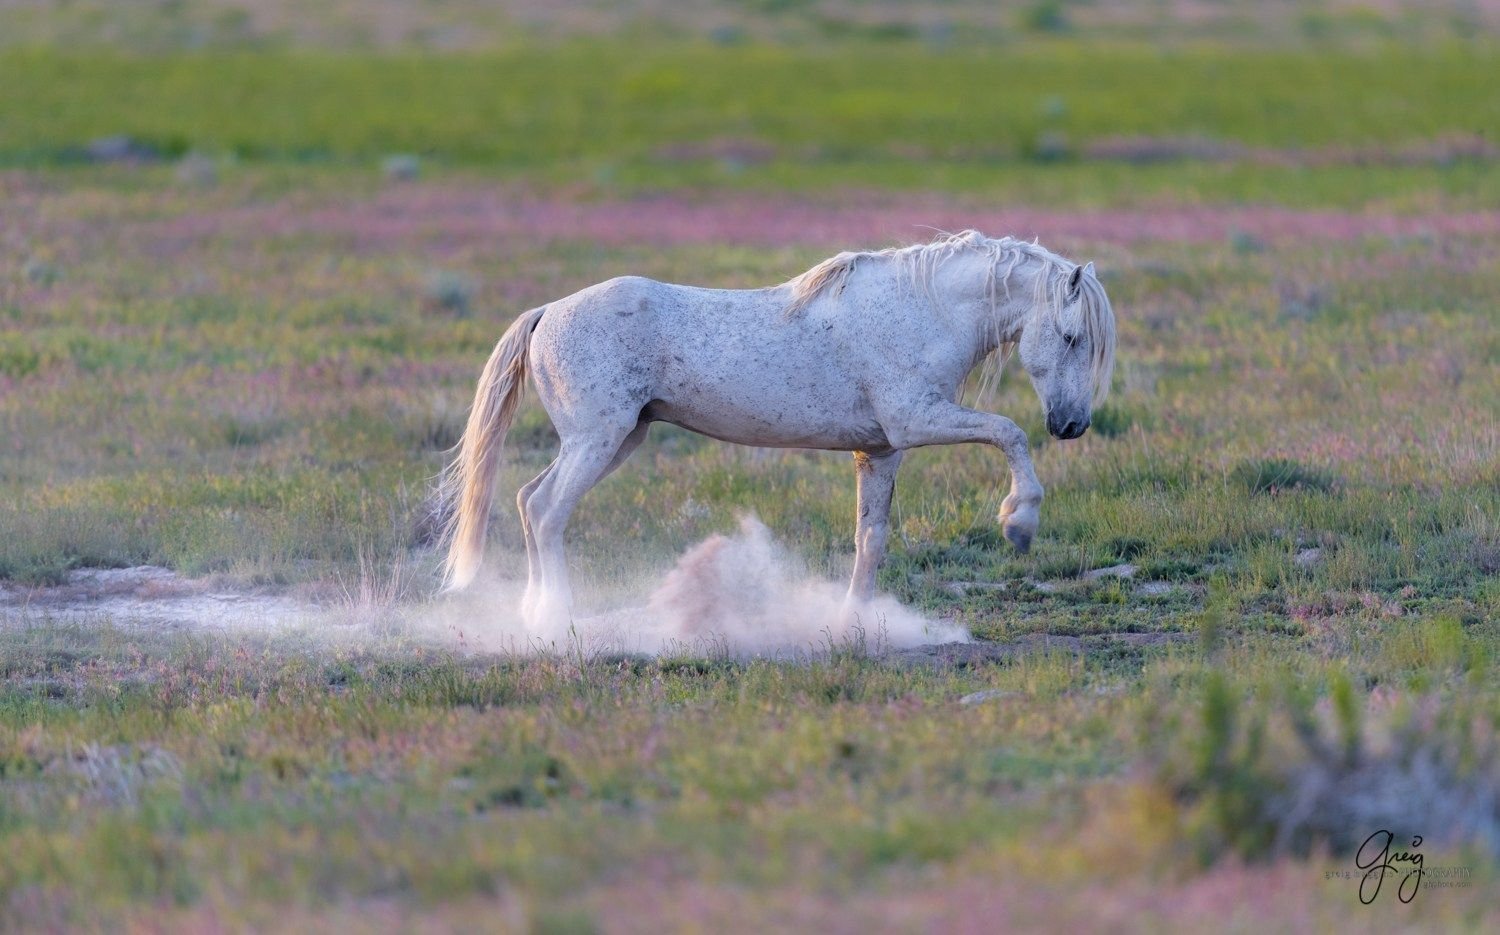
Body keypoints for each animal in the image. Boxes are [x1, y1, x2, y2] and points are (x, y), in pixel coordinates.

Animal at [438, 231, 1116, 633]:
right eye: (1070, 337)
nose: (1071, 425)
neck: (921, 312)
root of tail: (547, 313)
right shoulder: (919, 419)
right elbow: (1008, 433)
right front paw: (1019, 522)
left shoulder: (882, 449)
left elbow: (871, 538)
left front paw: (855, 622)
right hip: (597, 441)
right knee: (548, 511)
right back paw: (556, 618)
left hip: (614, 441)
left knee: (528, 500)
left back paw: (529, 615)